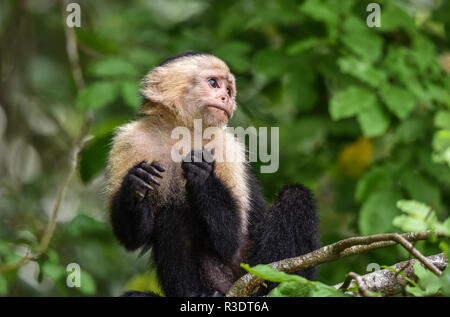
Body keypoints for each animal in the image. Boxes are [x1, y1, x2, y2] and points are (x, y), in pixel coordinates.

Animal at [105, 50, 320, 296]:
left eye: (228, 90)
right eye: (213, 83)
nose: (227, 98)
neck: (182, 133)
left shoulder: (226, 146)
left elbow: (230, 239)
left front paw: (202, 174)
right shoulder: (128, 142)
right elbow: (131, 236)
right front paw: (136, 184)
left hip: (247, 267)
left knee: (296, 195)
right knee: (173, 216)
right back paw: (195, 294)